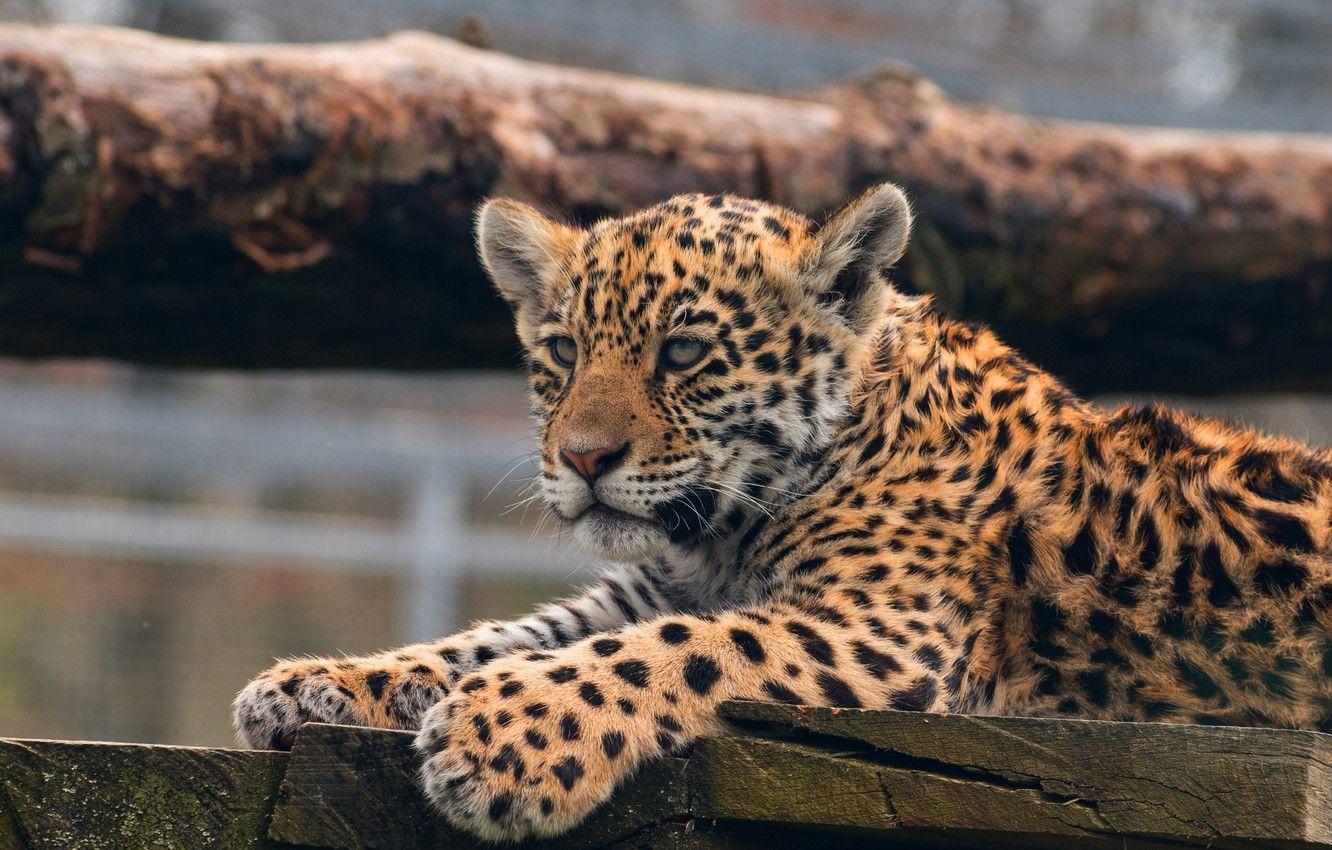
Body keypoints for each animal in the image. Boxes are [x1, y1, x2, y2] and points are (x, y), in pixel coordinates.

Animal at [235, 183, 1332, 843]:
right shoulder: (636, 591)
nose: (583, 459)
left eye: (683, 353)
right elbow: (497, 637)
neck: (717, 536)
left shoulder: (879, 631)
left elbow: (674, 652)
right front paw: (313, 685)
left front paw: (501, 738)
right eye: (563, 355)